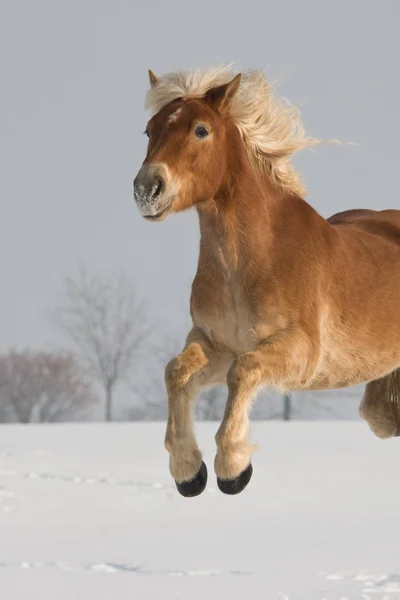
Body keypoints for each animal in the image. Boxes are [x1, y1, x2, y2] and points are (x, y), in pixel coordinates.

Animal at [133, 65, 400, 496]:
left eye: (201, 130)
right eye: (149, 129)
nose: (147, 190)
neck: (250, 262)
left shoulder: (300, 351)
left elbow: (242, 373)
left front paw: (233, 468)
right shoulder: (215, 343)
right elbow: (177, 371)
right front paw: (189, 471)